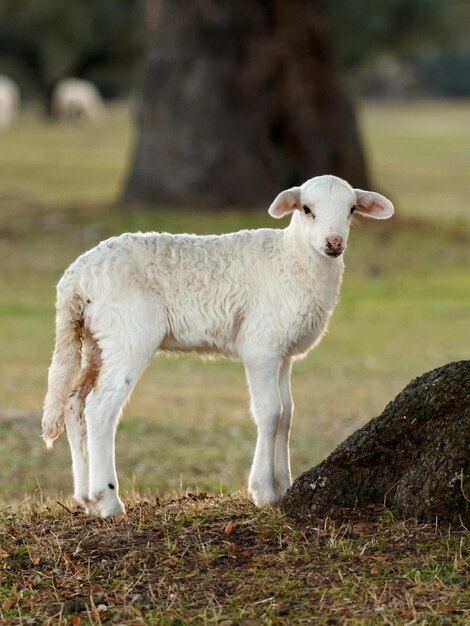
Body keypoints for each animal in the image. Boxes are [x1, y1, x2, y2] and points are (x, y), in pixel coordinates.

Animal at [42, 173, 392, 516]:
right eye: (307, 209)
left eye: (351, 209)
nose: (334, 243)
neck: (292, 259)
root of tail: (74, 280)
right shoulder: (261, 346)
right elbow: (270, 412)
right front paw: (264, 492)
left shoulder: (283, 352)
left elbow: (287, 413)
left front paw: (283, 486)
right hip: (128, 333)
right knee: (100, 406)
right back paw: (108, 501)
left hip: (96, 338)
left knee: (75, 401)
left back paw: (87, 498)